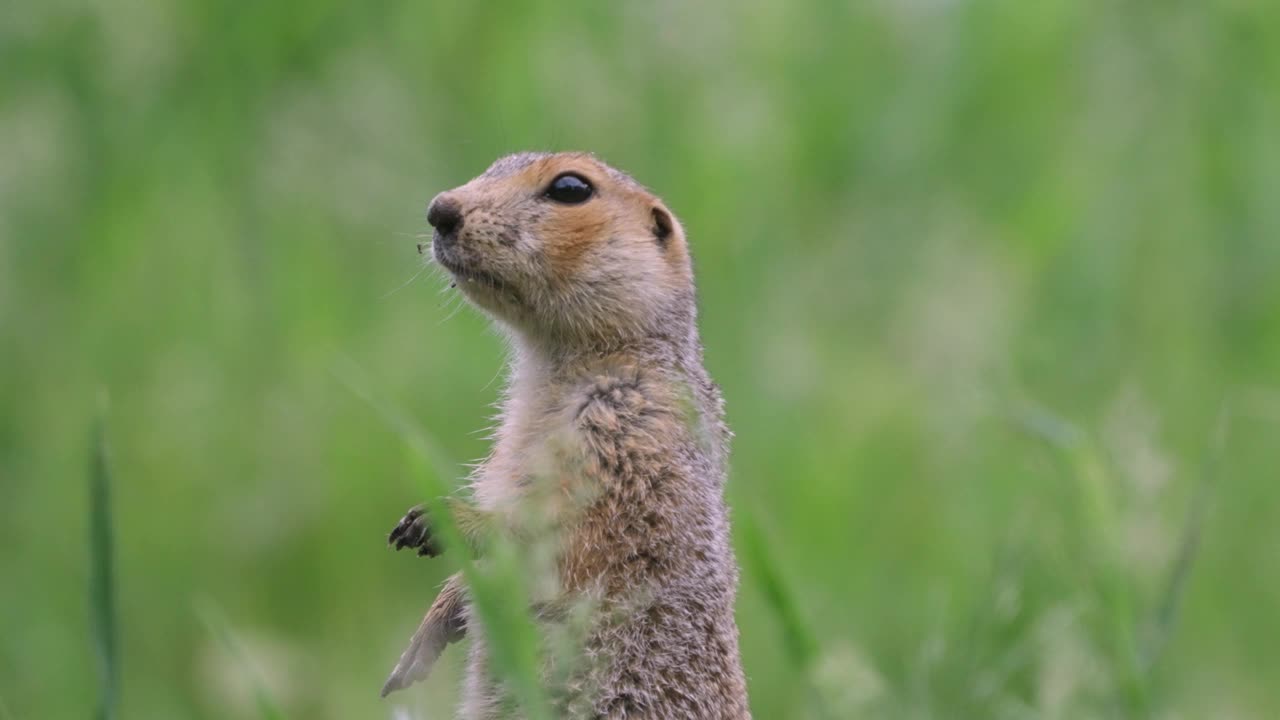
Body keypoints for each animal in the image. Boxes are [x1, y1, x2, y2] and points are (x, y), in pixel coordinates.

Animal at [378, 151, 747, 717]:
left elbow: (569, 532)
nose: (439, 210)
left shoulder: (632, 436)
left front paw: (451, 520)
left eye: (570, 188)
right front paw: (434, 623)